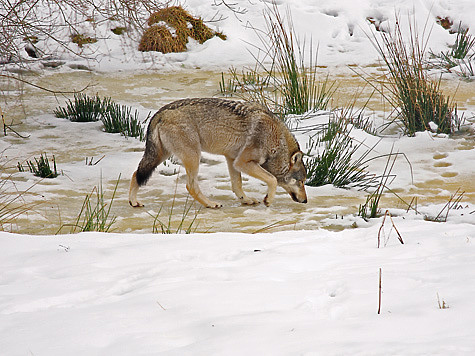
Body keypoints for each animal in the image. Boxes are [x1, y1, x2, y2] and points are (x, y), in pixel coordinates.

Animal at [129, 97, 308, 209]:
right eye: (301, 182)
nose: (306, 201)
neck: (277, 142)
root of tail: (159, 113)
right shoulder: (243, 162)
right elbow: (273, 180)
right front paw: (268, 200)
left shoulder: (232, 159)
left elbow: (237, 185)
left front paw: (246, 200)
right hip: (193, 156)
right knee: (190, 185)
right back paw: (210, 204)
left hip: (161, 156)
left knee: (136, 173)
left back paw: (133, 202)